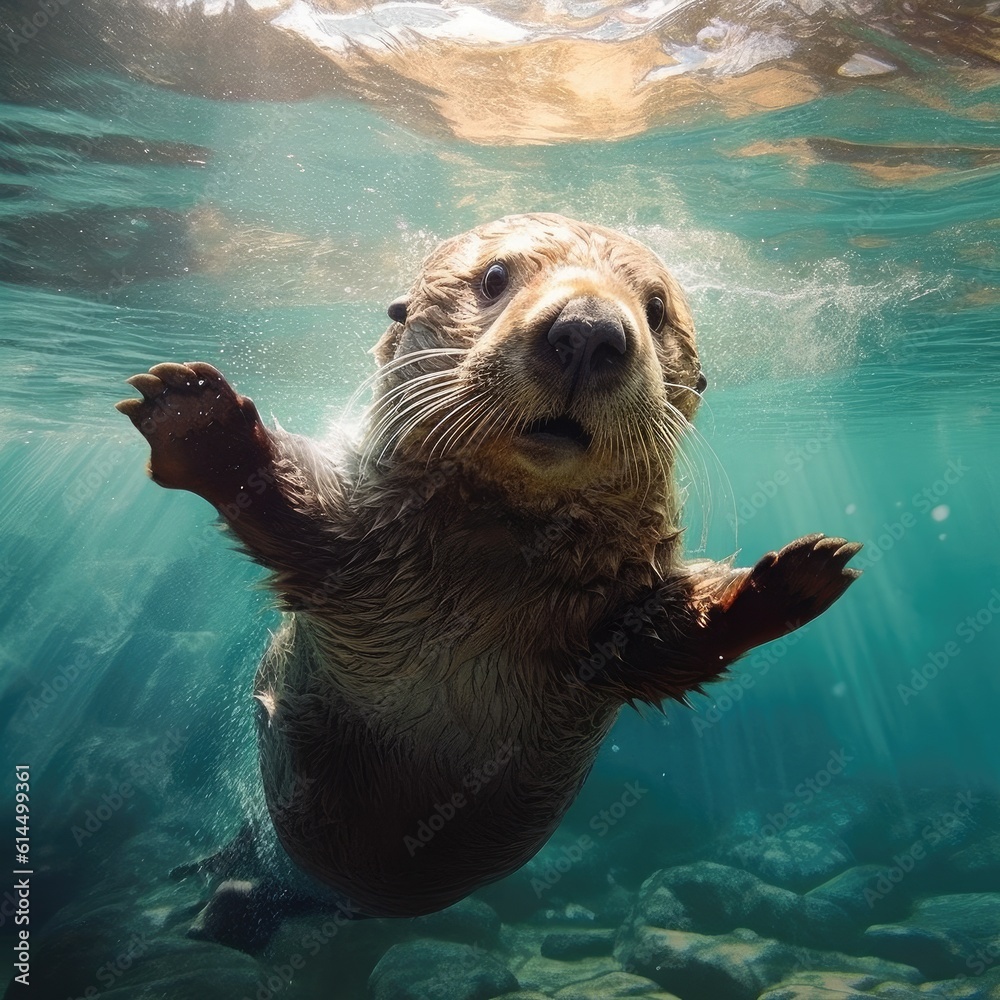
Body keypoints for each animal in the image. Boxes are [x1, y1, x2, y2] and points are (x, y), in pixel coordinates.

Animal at [117, 215, 860, 948]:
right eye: (495, 276)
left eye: (655, 310)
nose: (588, 329)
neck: (492, 577)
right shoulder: (356, 553)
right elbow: (291, 518)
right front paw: (199, 418)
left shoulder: (607, 634)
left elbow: (668, 645)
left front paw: (796, 578)